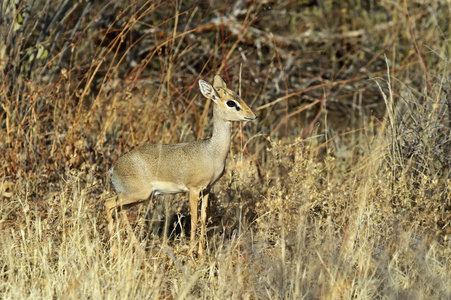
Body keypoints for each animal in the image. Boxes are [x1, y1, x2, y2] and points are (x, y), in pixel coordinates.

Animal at [103, 75, 256, 253]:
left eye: (238, 96)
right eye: (231, 102)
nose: (252, 115)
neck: (212, 152)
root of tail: (114, 168)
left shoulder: (207, 189)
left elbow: (203, 218)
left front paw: (201, 254)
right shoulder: (193, 189)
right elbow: (194, 220)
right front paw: (190, 255)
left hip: (138, 198)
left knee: (119, 210)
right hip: (136, 195)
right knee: (108, 204)